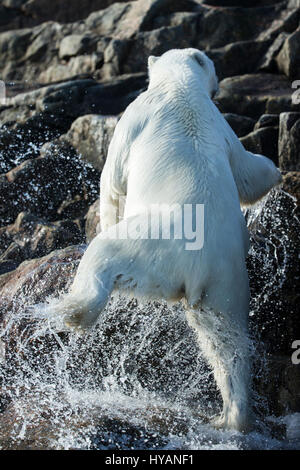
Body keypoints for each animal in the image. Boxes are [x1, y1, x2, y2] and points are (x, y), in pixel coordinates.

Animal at [56, 49, 282, 432]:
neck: (179, 88)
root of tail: (199, 258)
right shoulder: (222, 127)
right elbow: (249, 172)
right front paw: (278, 172)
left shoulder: (134, 117)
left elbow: (111, 179)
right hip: (225, 282)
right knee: (226, 340)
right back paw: (231, 416)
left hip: (148, 250)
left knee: (104, 255)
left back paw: (72, 311)